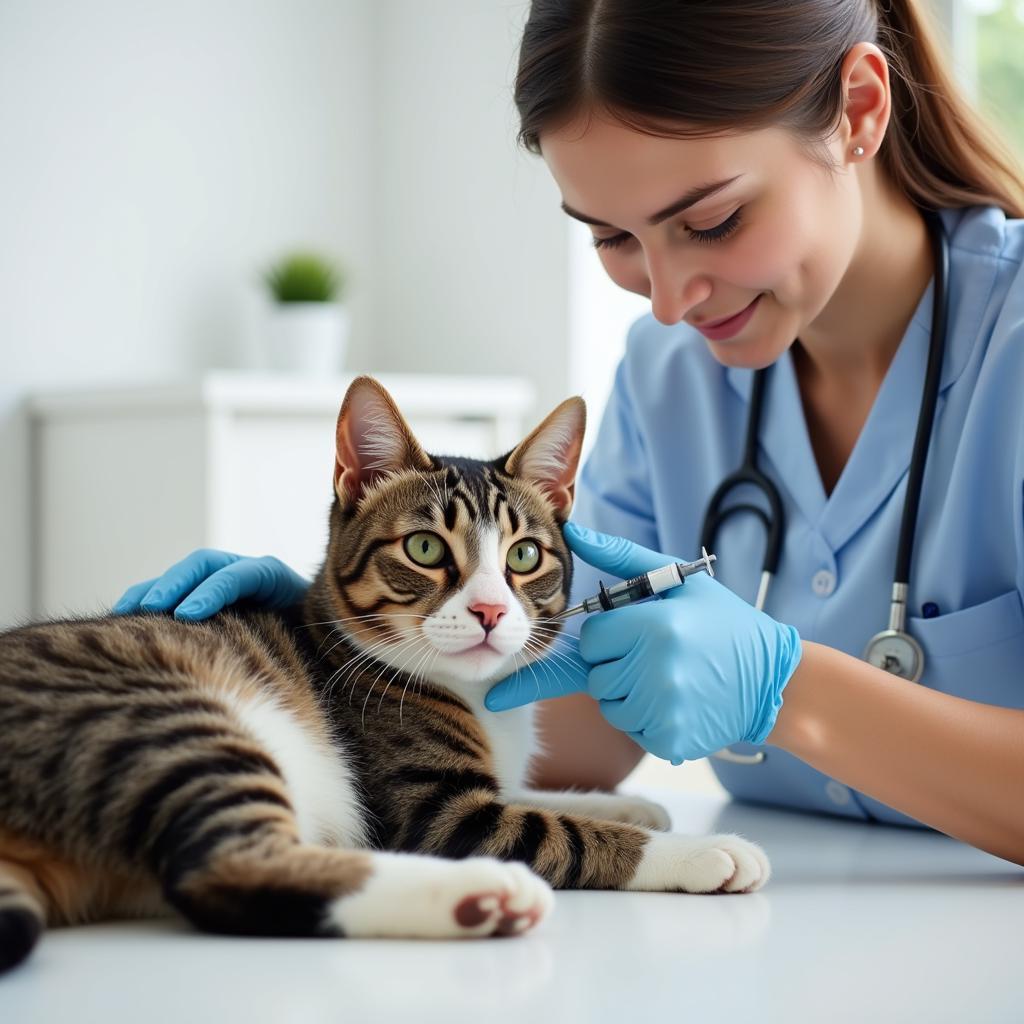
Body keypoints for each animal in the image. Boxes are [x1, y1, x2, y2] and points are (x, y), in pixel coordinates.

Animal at [0, 372, 770, 970]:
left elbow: (539, 795)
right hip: (165, 719)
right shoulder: (438, 811)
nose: (490, 609)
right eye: (425, 548)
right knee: (227, 869)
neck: (475, 695)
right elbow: (558, 832)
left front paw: (626, 801)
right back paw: (482, 895)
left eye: (524, 556)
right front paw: (697, 849)